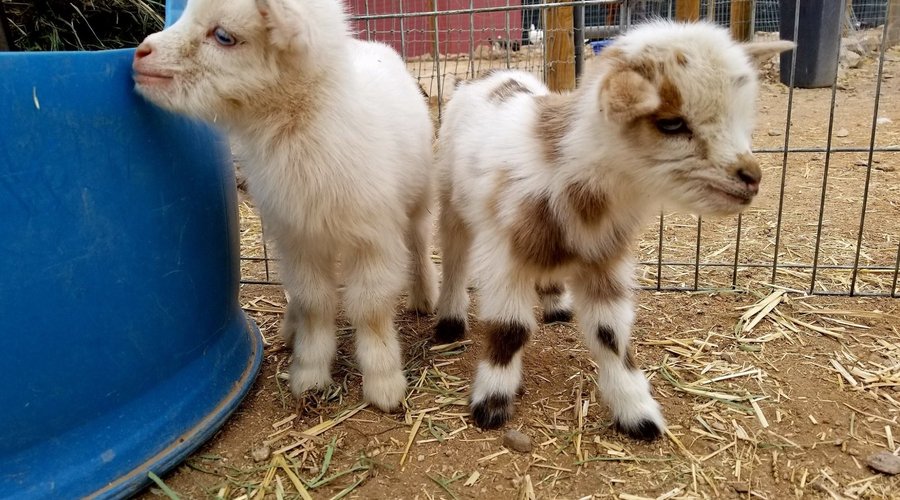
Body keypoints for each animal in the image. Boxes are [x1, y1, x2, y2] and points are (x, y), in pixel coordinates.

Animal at [134, 0, 440, 410]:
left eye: (224, 36)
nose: (140, 54)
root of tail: (374, 45)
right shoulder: (299, 238)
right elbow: (314, 302)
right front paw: (309, 373)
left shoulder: (373, 239)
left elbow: (371, 308)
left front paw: (384, 382)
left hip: (418, 198)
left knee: (420, 244)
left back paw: (424, 296)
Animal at [432, 21, 792, 440]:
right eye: (672, 123)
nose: (751, 178)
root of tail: (488, 75)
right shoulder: (506, 259)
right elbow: (510, 331)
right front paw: (491, 405)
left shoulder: (605, 259)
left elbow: (611, 335)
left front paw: (637, 413)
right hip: (451, 199)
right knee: (454, 257)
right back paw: (450, 320)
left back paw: (557, 304)